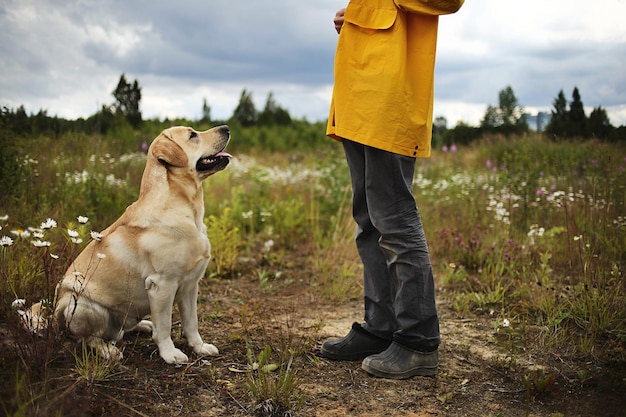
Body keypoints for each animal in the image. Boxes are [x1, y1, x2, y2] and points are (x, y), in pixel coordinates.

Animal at [28, 125, 229, 362]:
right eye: (192, 135)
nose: (226, 128)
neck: (188, 209)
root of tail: (54, 317)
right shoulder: (162, 284)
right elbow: (165, 326)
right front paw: (170, 354)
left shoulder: (191, 284)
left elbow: (191, 323)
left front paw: (200, 347)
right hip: (83, 306)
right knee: (87, 339)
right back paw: (108, 350)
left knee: (124, 329)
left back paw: (144, 325)